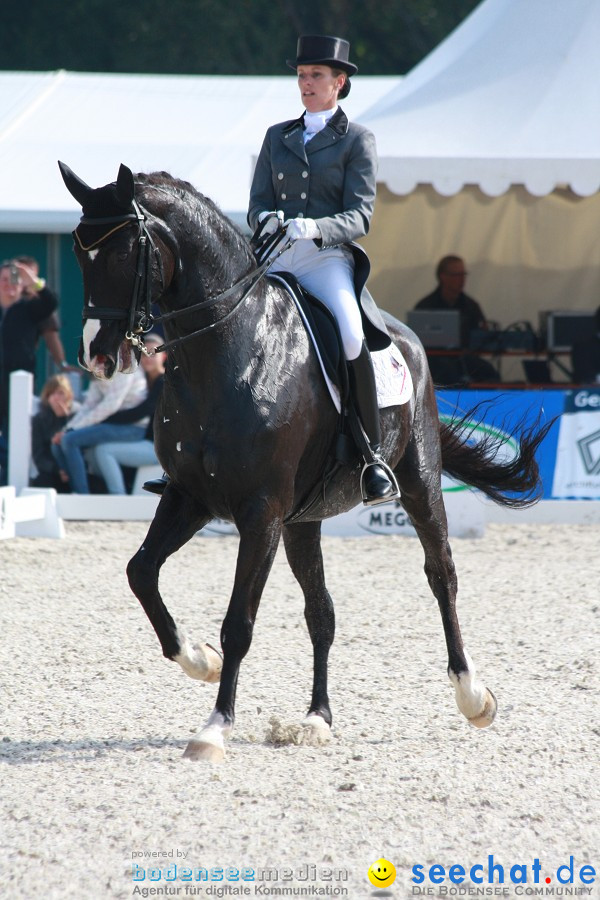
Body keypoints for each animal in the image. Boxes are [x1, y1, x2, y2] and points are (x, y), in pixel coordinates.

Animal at [59, 160, 548, 760]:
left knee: (442, 576)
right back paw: (317, 718)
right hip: (303, 521)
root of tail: (407, 336)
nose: (97, 356)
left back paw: (473, 696)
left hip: (417, 484)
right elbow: (141, 572)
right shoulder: (190, 496)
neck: (225, 352)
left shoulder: (260, 513)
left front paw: (214, 727)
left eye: (128, 251)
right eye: (79, 250)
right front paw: (199, 660)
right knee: (322, 612)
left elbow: (238, 622)